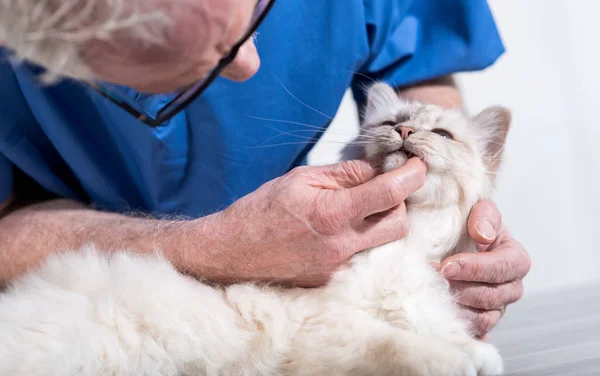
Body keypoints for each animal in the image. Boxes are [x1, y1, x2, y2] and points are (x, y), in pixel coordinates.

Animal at [0, 82, 510, 376]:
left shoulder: (411, 304)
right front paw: (462, 362)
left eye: (441, 136)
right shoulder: (325, 326)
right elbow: (406, 347)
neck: (406, 239)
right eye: (391, 123)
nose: (404, 134)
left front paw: (480, 357)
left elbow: (438, 333)